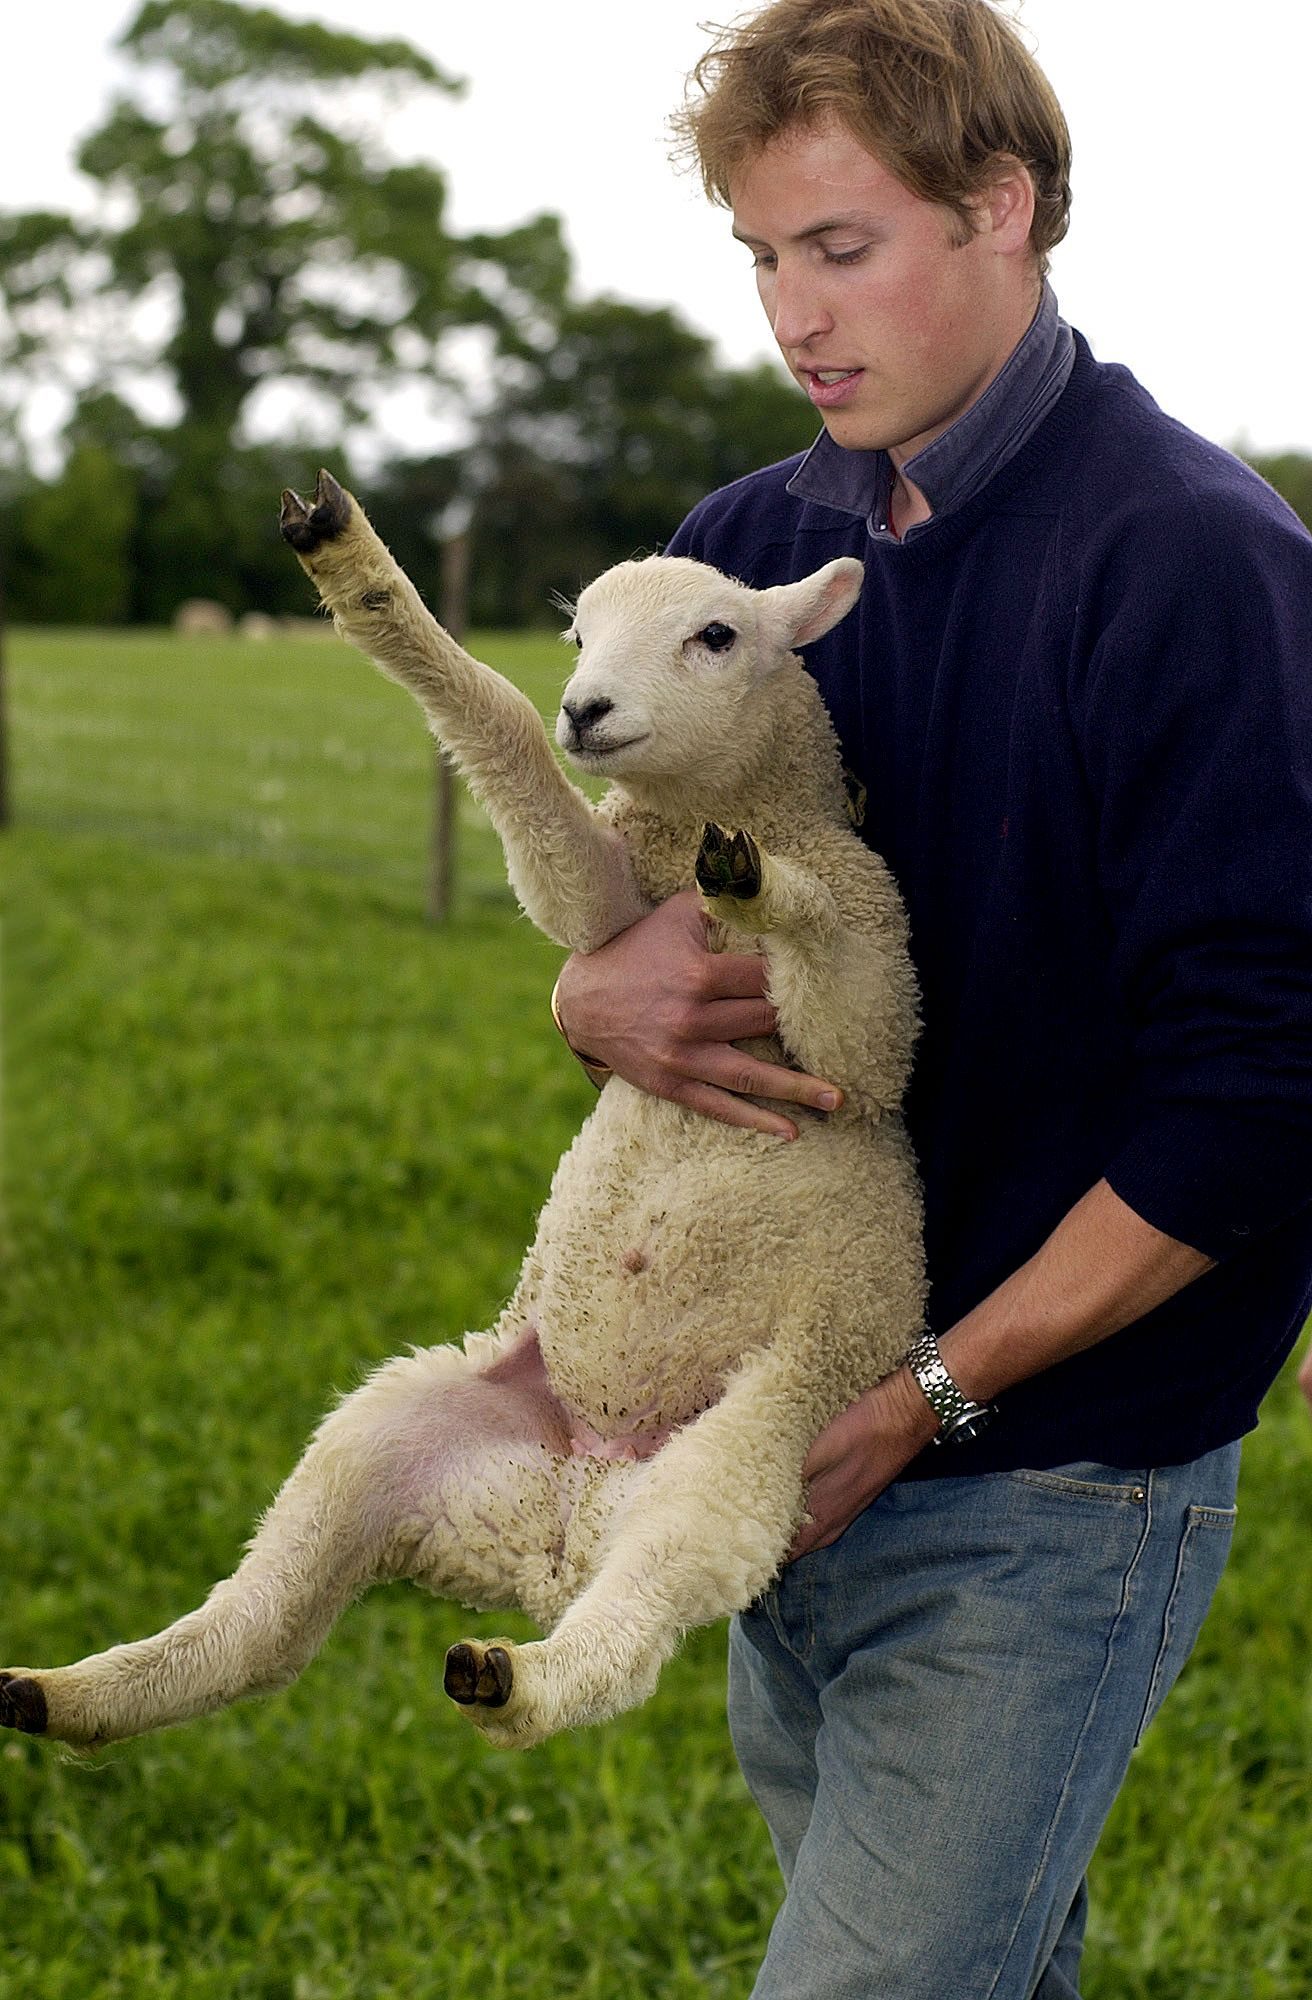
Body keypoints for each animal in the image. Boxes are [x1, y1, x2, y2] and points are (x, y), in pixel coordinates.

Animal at [0, 468, 924, 1752]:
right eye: (578, 638)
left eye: (717, 634)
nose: (590, 707)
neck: (710, 822)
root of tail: (562, 1524)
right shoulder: (608, 912)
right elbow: (509, 745)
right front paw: (355, 573)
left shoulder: (870, 1004)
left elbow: (846, 988)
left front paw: (753, 881)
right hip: (390, 1433)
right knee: (262, 1627)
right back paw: (69, 1691)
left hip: (747, 1442)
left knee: (640, 1612)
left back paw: (519, 1679)